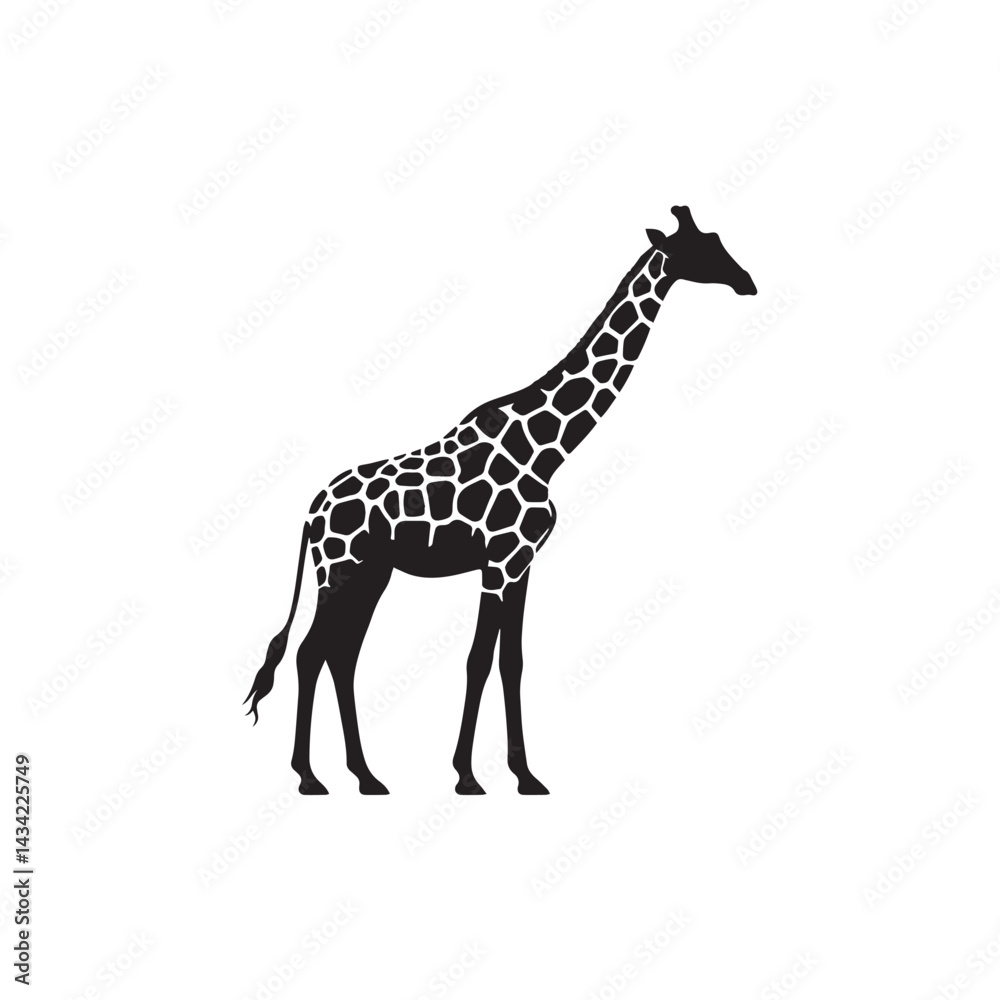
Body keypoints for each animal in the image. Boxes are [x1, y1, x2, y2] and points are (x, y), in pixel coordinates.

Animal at [245, 206, 756, 796]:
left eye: (717, 239)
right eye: (703, 249)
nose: (747, 282)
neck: (547, 450)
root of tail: (310, 512)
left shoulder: (522, 563)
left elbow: (510, 660)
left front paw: (524, 775)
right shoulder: (499, 561)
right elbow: (478, 660)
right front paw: (467, 775)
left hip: (373, 573)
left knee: (341, 655)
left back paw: (366, 776)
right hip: (340, 569)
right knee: (312, 652)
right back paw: (309, 777)